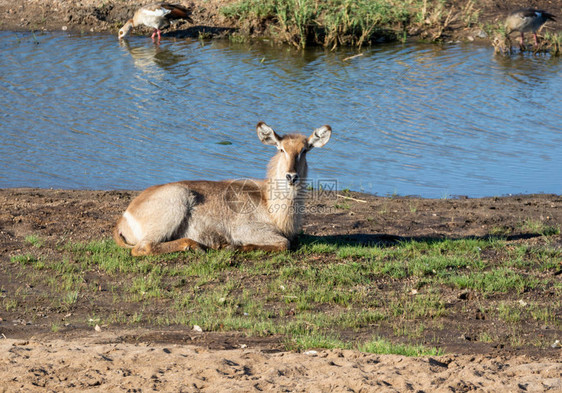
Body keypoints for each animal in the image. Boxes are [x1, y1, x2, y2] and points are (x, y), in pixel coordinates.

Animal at [114, 122, 332, 258]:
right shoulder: (247, 229)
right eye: (281, 149)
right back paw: (198, 246)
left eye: (304, 150)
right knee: (143, 247)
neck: (271, 206)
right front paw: (235, 247)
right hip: (177, 201)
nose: (291, 176)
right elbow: (284, 244)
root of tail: (124, 217)